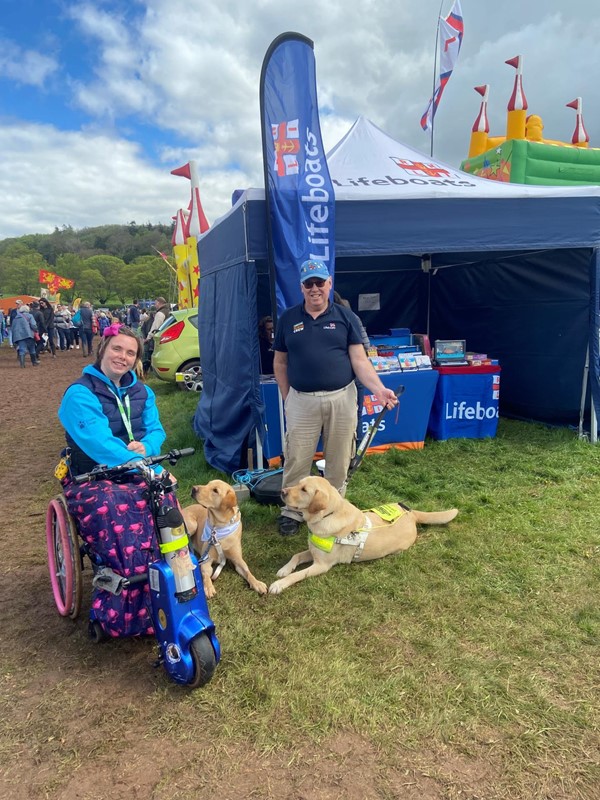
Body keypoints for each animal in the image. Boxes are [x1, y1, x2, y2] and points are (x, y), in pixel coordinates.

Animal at [268, 476, 460, 592]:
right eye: (298, 484)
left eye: (304, 490)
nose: (282, 491)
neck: (328, 514)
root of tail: (411, 513)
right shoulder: (313, 551)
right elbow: (296, 556)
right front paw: (284, 569)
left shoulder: (322, 565)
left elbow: (297, 575)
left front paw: (279, 584)